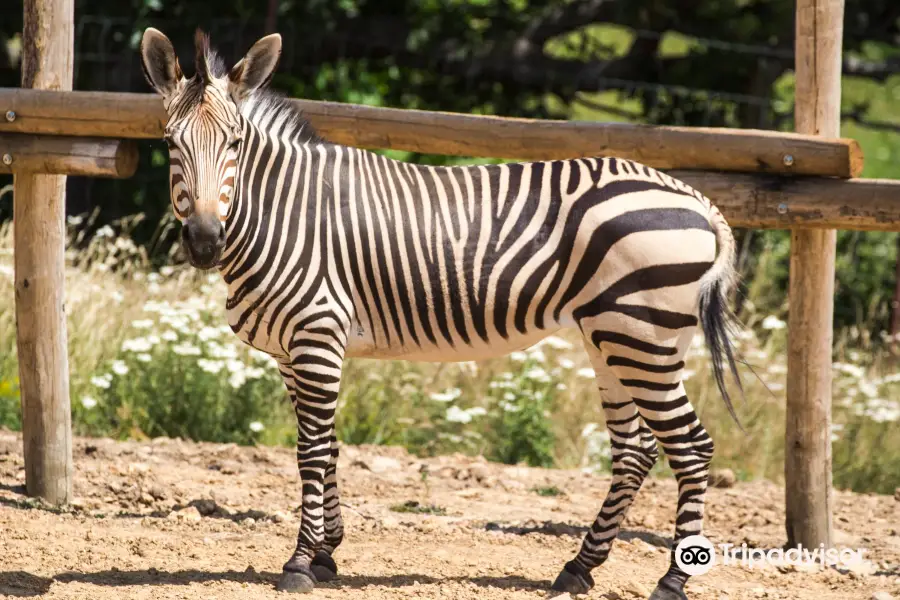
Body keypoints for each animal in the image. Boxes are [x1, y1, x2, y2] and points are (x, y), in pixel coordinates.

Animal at [141, 25, 740, 596]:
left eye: (235, 142)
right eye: (170, 143)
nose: (204, 241)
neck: (281, 212)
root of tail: (695, 199)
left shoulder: (317, 334)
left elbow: (310, 450)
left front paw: (300, 563)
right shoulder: (293, 351)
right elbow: (328, 447)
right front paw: (328, 552)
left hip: (642, 338)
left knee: (692, 447)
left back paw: (672, 581)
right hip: (614, 337)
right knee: (636, 451)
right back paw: (577, 569)